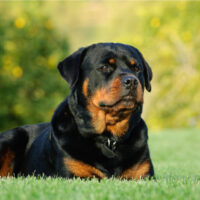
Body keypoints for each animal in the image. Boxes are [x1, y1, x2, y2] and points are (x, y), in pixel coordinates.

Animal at [0, 43, 155, 179]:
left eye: (137, 68)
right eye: (105, 67)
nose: (132, 81)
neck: (109, 138)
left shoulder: (144, 176)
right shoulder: (75, 175)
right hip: (12, 137)